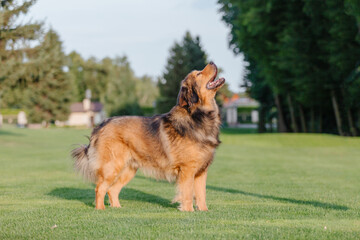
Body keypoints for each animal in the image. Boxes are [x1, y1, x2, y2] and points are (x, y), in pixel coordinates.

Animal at [71, 61, 225, 211]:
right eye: (199, 74)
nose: (212, 62)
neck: (198, 116)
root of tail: (100, 125)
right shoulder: (187, 169)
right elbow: (187, 194)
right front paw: (188, 212)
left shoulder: (201, 172)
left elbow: (201, 195)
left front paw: (203, 212)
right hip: (112, 167)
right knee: (100, 188)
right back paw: (100, 209)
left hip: (129, 169)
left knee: (112, 190)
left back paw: (117, 209)